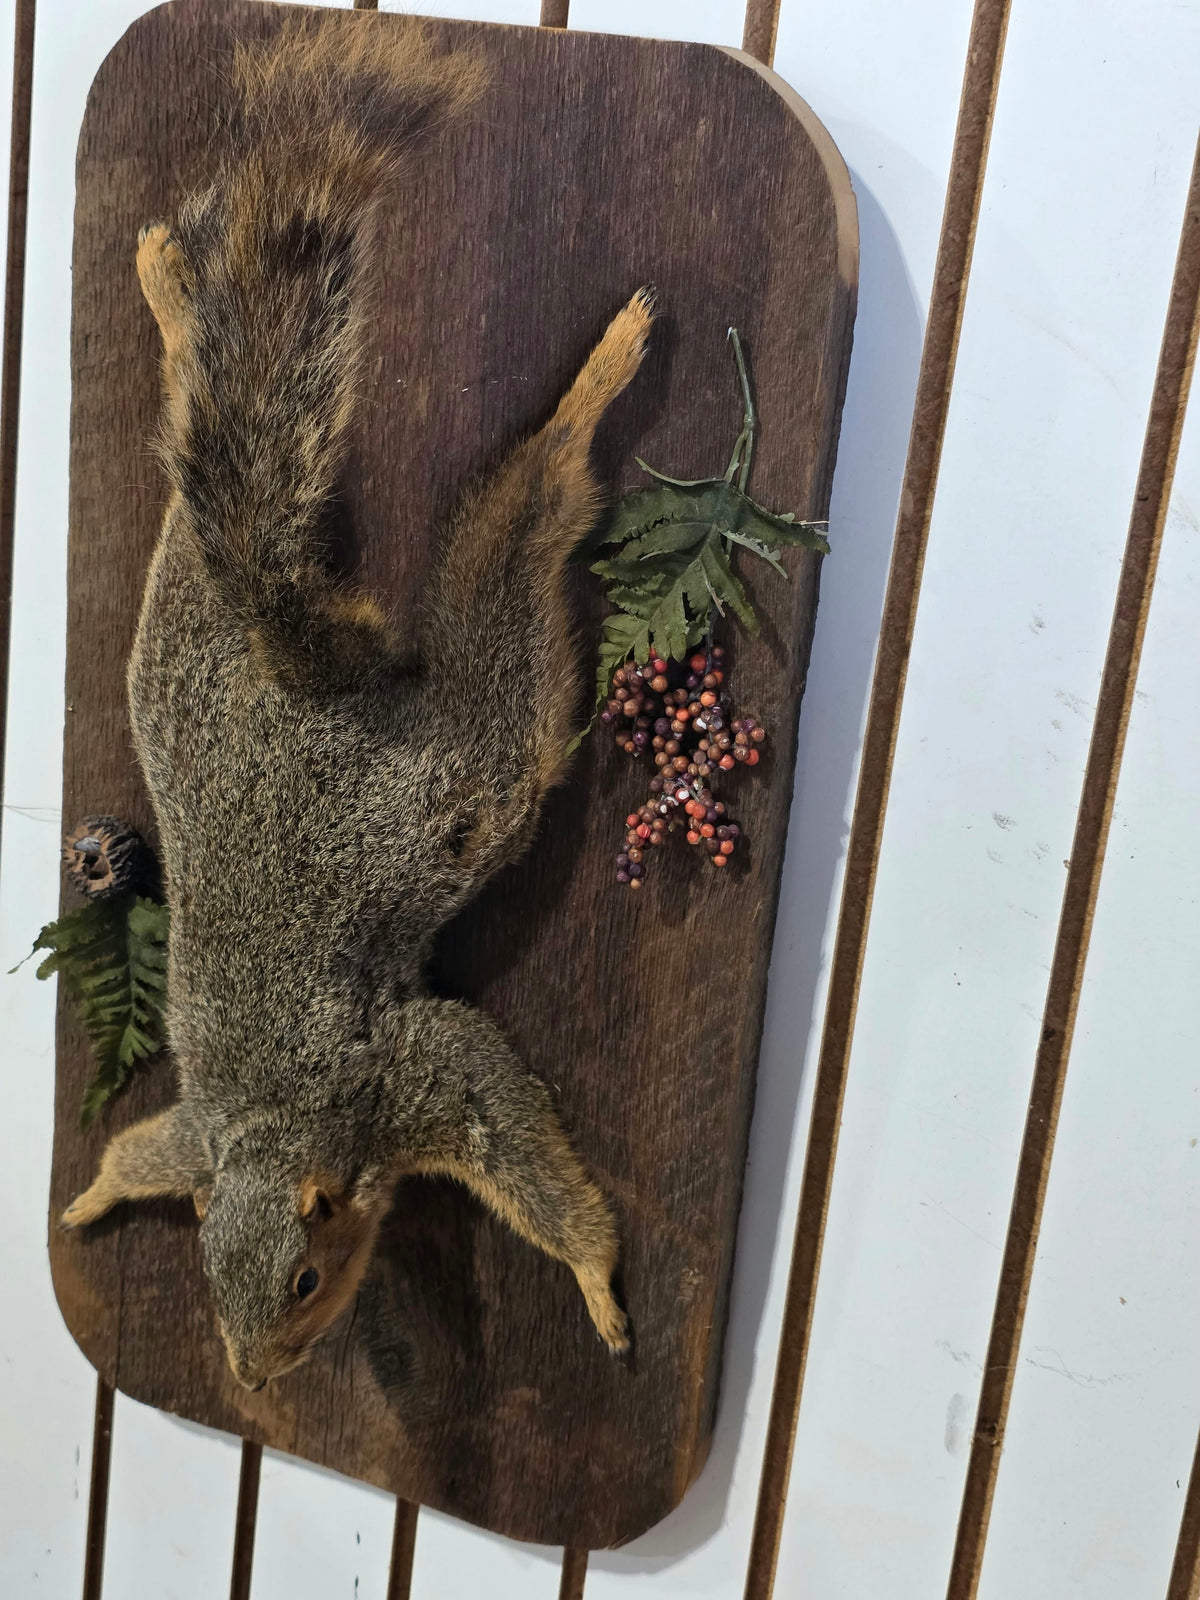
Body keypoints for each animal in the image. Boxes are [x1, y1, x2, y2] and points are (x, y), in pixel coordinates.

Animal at [59, 13, 654, 1389]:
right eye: (205, 1278)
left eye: (307, 1280)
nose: (252, 1375)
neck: (279, 1129)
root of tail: (301, 677)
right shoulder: (199, 1141)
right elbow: (143, 1152)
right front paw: (92, 1199)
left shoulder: (414, 1084)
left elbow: (518, 1150)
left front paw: (594, 1283)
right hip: (187, 659)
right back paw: (171, 290)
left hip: (466, 770)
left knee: (513, 559)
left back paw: (591, 387)